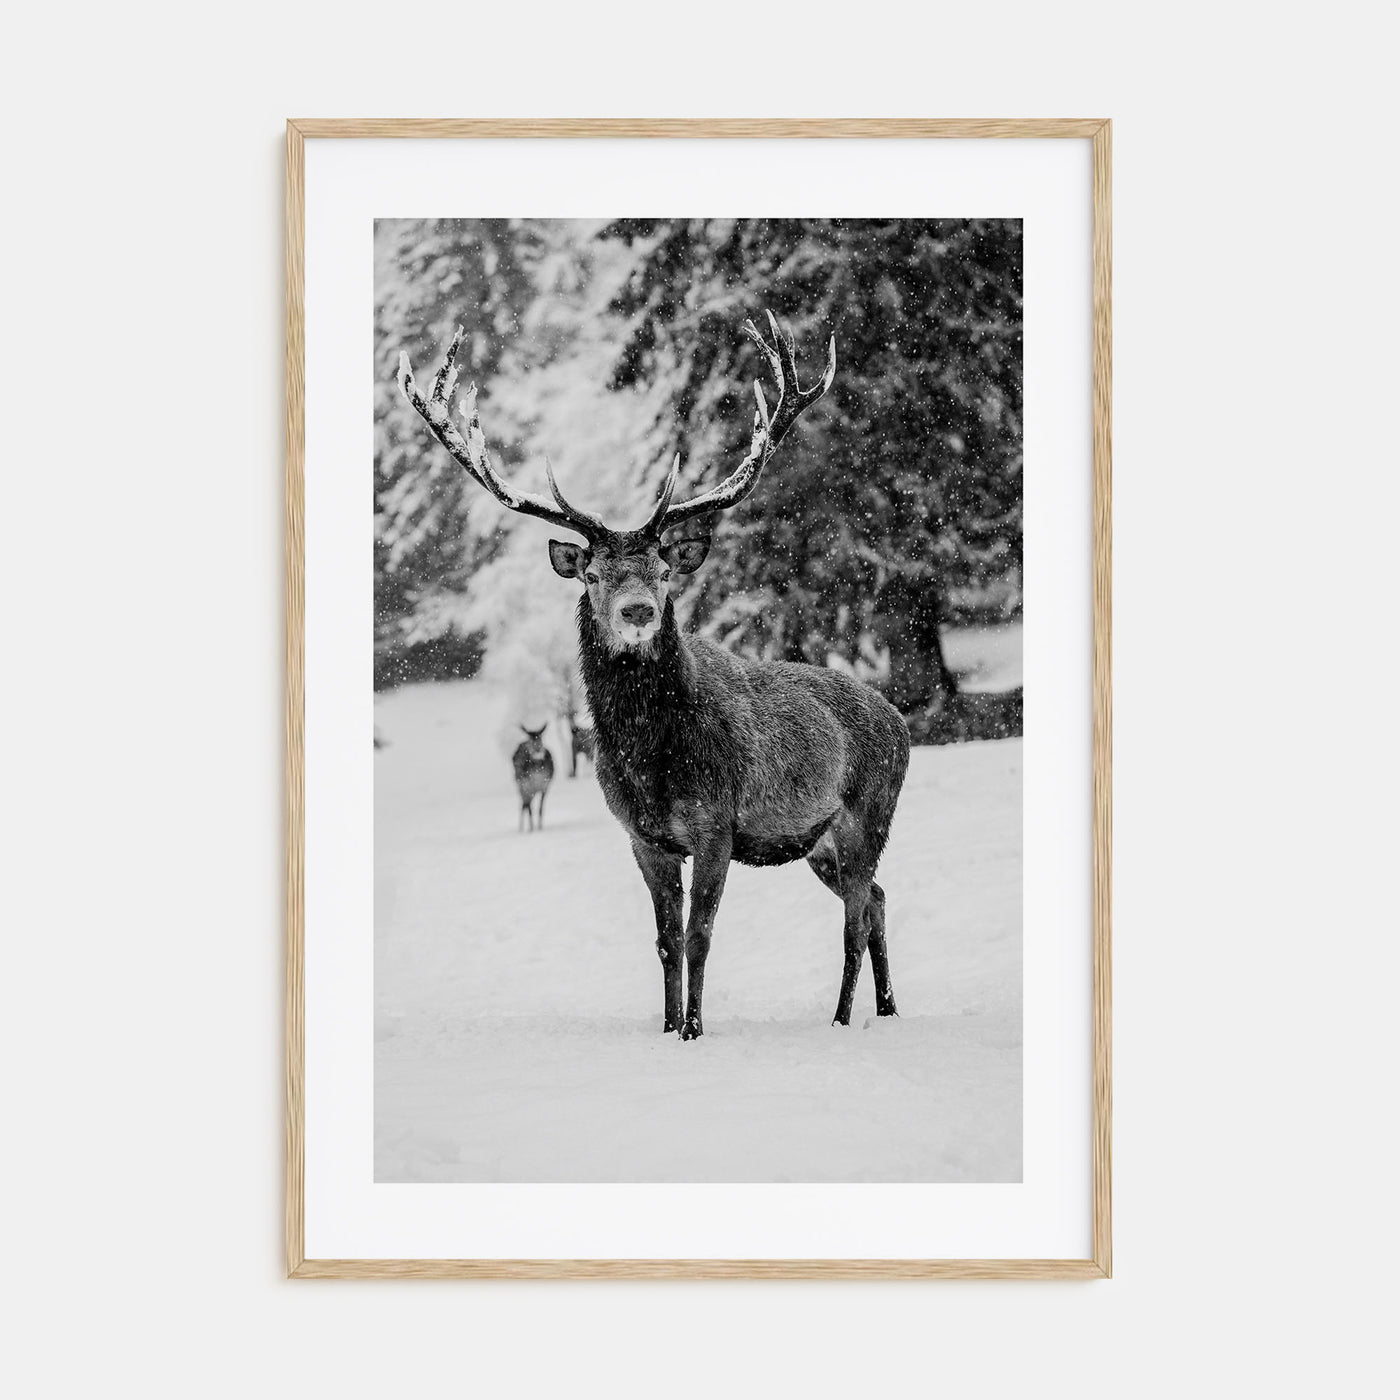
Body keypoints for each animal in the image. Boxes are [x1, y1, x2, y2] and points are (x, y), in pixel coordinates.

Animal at [399, 312, 910, 1039]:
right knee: (878, 901)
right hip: (818, 841)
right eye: (592, 573)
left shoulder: (716, 822)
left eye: (665, 570)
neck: (649, 758)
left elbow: (700, 935)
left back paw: (842, 1017)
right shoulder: (643, 837)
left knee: (856, 916)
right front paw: (667, 1029)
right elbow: (666, 940)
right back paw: (887, 1008)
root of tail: (900, 719)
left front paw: (695, 1029)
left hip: (871, 810)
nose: (638, 609)